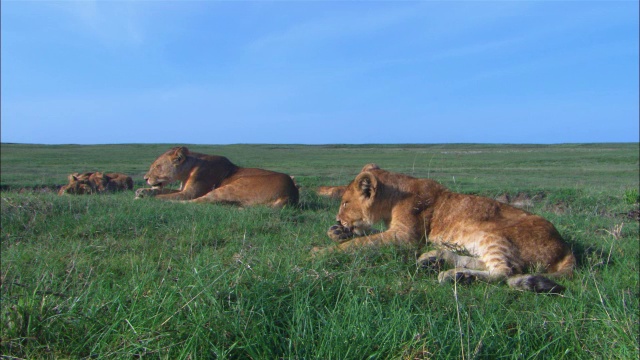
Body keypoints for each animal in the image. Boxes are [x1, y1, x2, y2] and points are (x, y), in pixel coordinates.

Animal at [136, 146, 300, 208]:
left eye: (157, 166)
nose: (145, 178)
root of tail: (291, 192)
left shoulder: (190, 192)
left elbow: (169, 195)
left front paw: (145, 196)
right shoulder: (183, 189)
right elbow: (164, 190)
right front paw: (143, 191)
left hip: (234, 186)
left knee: (198, 201)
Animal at [314, 165, 576, 294]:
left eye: (345, 203)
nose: (337, 218)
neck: (394, 197)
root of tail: (565, 246)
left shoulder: (406, 237)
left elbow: (363, 243)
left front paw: (320, 252)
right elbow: (364, 236)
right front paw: (336, 232)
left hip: (494, 235)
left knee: (505, 272)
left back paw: (454, 275)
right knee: (483, 263)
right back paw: (435, 260)